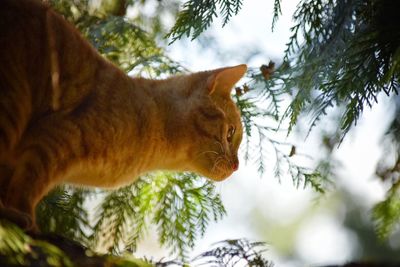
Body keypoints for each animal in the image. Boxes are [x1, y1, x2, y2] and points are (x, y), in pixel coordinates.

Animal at [0, 0, 245, 229]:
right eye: (230, 133)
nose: (236, 166)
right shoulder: (54, 139)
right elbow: (28, 185)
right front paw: (23, 215)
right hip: (14, 102)